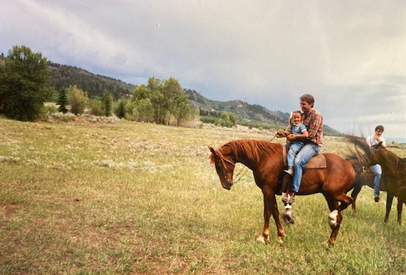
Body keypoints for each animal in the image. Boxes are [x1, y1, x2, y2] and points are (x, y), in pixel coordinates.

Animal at [209, 141, 356, 247]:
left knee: (348, 201)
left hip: (333, 194)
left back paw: (332, 219)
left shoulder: (267, 189)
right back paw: (330, 241)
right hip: (331, 197)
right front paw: (280, 236)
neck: (263, 158)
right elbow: (275, 212)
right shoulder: (271, 191)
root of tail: (349, 165)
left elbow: (267, 212)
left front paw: (263, 236)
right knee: (340, 215)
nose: (226, 184)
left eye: (219, 165)